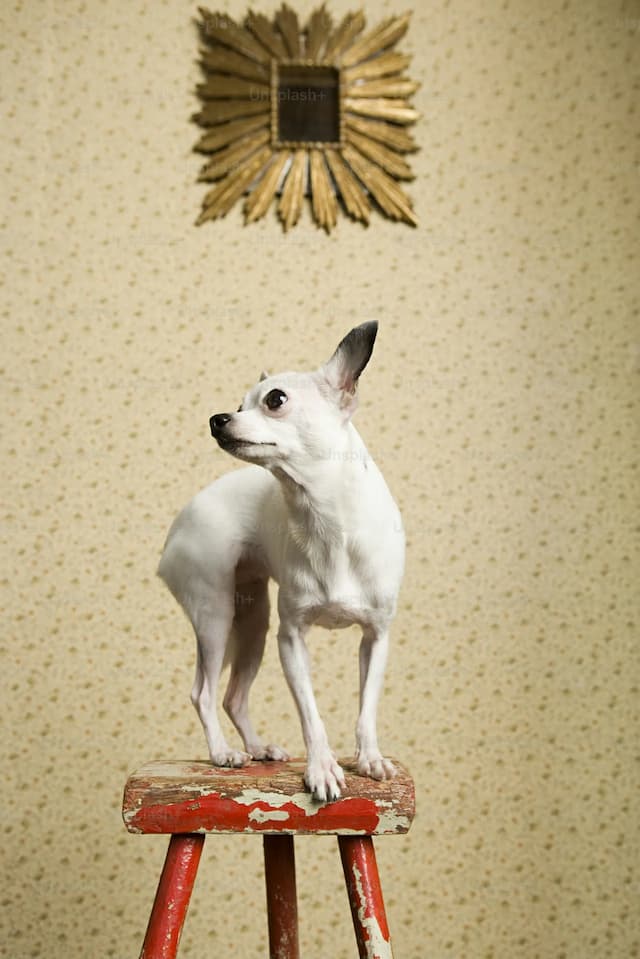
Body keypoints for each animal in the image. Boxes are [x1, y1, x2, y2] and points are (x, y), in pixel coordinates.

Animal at [157, 324, 402, 804]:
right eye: (239, 406)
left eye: (275, 400)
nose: (217, 419)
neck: (327, 521)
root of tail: (178, 526)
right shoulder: (291, 640)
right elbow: (312, 716)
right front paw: (322, 768)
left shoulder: (375, 638)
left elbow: (366, 708)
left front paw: (369, 758)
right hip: (216, 616)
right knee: (203, 693)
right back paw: (223, 752)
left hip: (252, 622)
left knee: (233, 696)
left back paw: (256, 748)